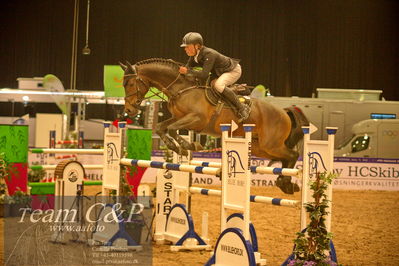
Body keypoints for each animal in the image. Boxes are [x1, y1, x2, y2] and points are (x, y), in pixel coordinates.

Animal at [121, 58, 310, 193]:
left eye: (130, 84)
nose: (129, 110)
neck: (181, 88)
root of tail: (283, 111)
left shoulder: (197, 119)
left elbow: (173, 130)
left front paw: (189, 146)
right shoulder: (178, 117)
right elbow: (161, 127)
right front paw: (178, 148)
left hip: (271, 144)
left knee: (292, 155)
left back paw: (286, 182)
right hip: (260, 147)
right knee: (285, 158)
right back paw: (286, 184)